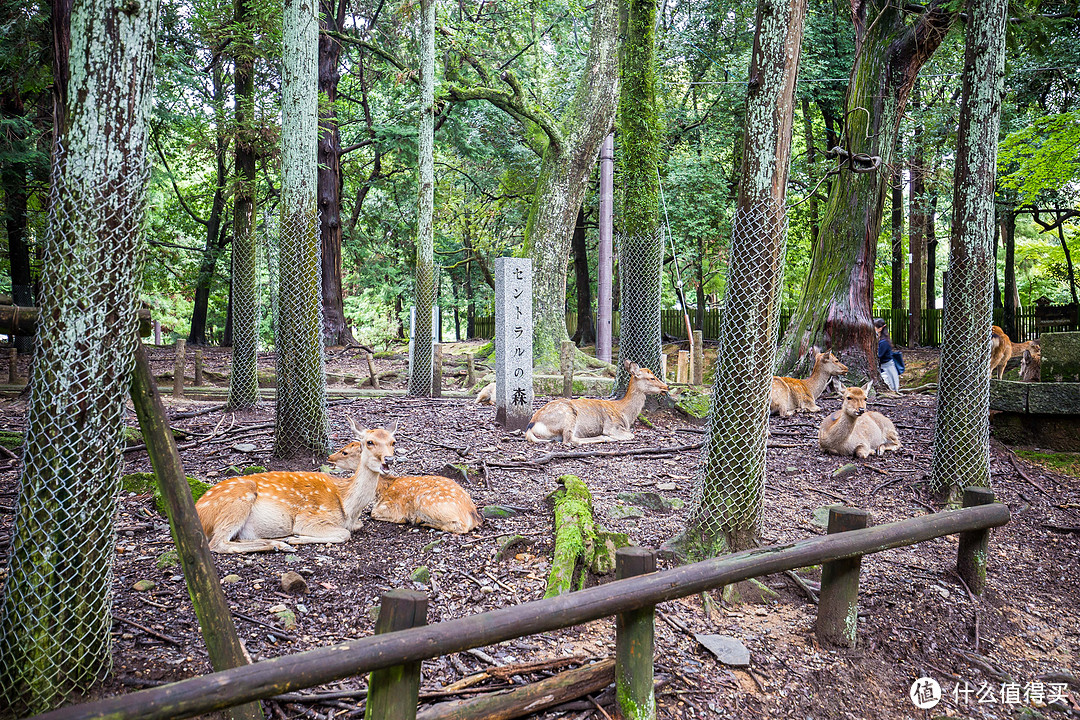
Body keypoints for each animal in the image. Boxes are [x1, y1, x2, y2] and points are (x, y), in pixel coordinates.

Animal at [195, 425, 397, 557]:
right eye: (370, 442)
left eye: (393, 442)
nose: (388, 459)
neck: (348, 506)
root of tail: (199, 510)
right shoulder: (308, 517)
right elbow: (343, 534)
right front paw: (296, 538)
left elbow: (354, 527)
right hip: (238, 501)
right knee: (217, 543)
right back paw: (282, 543)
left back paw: (278, 543)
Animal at [326, 416, 483, 535]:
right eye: (370, 442)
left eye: (345, 452)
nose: (329, 457)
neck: (381, 490)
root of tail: (473, 516)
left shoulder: (388, 506)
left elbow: (373, 513)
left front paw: (405, 518)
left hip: (427, 501)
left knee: (460, 526)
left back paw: (423, 522)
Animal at [522, 360, 665, 444]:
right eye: (652, 378)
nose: (666, 387)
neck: (624, 414)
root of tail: (531, 425)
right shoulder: (612, 426)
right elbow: (630, 435)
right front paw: (611, 437)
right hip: (567, 416)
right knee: (569, 439)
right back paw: (604, 438)